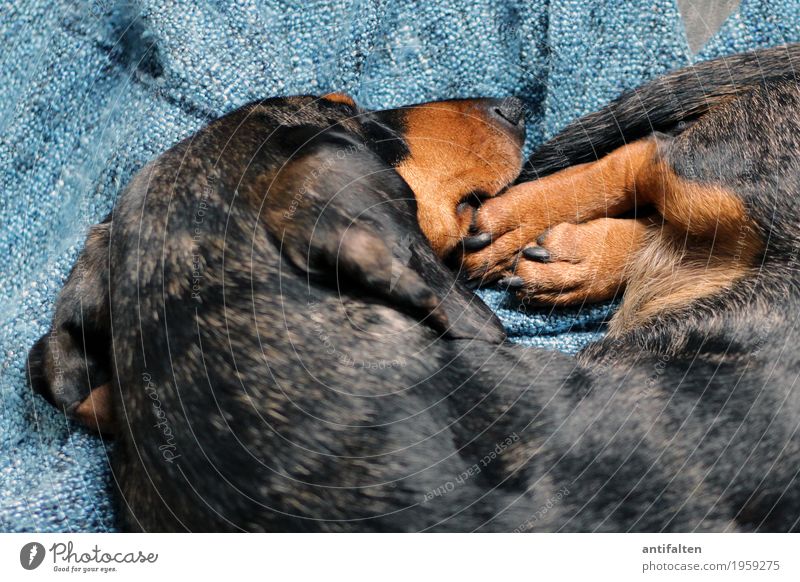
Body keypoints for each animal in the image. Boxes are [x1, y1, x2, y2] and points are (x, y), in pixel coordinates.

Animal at [28, 43, 800, 532]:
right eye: (346, 108)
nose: (513, 105)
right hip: (734, 183)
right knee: (659, 161)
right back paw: (537, 235)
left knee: (659, 168)